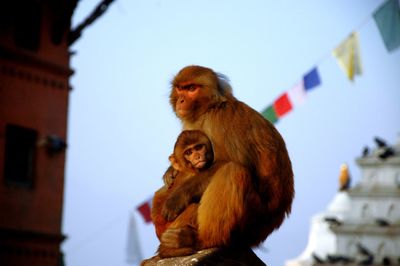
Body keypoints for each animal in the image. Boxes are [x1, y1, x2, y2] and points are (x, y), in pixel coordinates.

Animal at [159, 65, 294, 258]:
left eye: (192, 89)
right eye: (180, 88)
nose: (182, 100)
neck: (209, 108)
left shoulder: (220, 120)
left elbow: (232, 162)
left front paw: (178, 197)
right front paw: (170, 171)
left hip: (252, 221)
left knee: (233, 171)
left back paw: (200, 240)